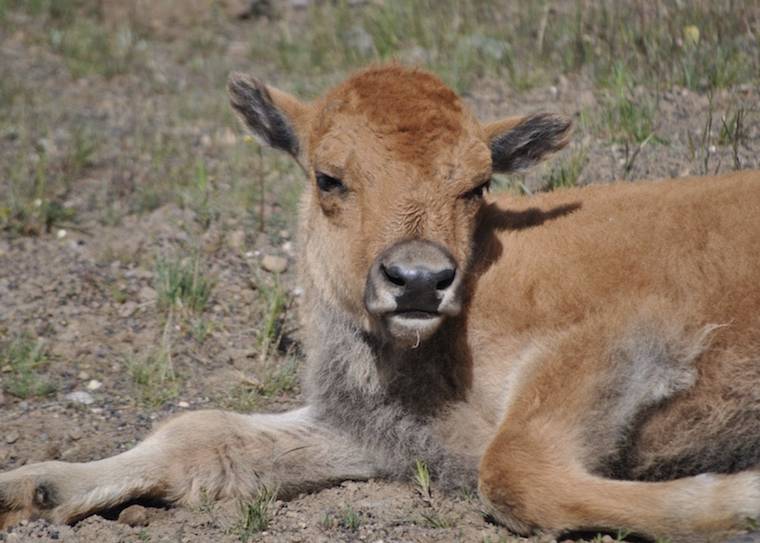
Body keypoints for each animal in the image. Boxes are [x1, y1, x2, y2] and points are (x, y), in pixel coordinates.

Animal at [1, 64, 759, 540]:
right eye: (328, 177)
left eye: (478, 184)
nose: (419, 279)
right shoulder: (371, 430)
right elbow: (203, 434)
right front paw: (32, 486)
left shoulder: (628, 336)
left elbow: (515, 474)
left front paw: (743, 500)